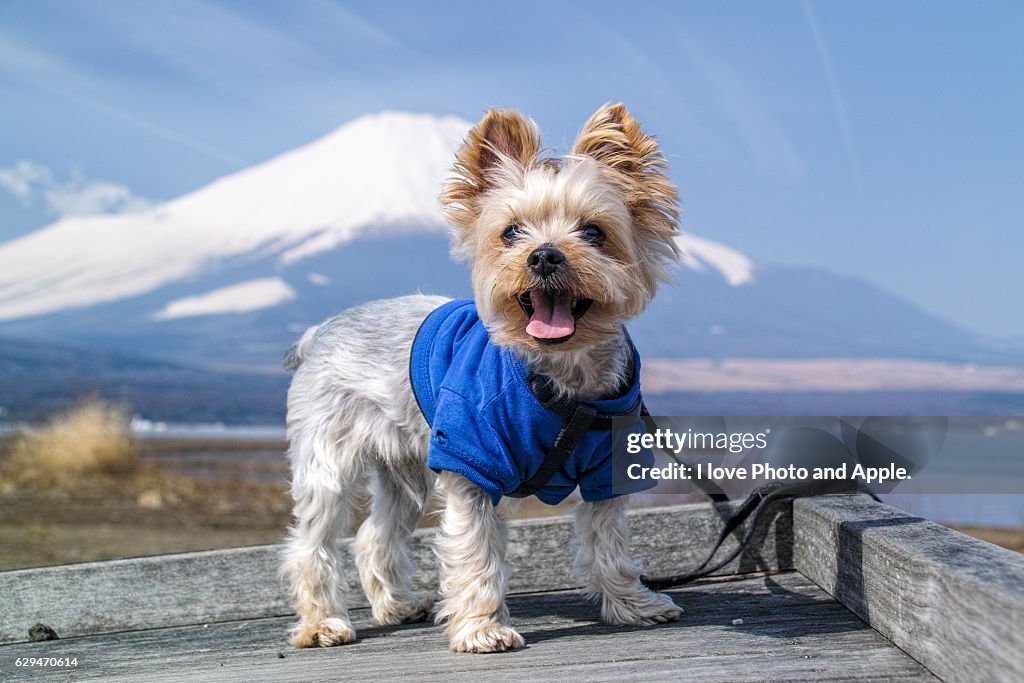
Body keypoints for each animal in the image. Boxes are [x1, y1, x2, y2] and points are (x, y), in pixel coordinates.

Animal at [280, 104, 679, 655]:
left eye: (594, 232)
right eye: (510, 232)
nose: (545, 255)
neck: (558, 378)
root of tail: (317, 332)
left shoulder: (608, 466)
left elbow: (611, 542)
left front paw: (632, 606)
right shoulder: (472, 460)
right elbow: (475, 552)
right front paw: (482, 628)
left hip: (404, 467)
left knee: (373, 536)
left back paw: (396, 606)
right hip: (331, 460)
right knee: (312, 542)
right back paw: (322, 624)